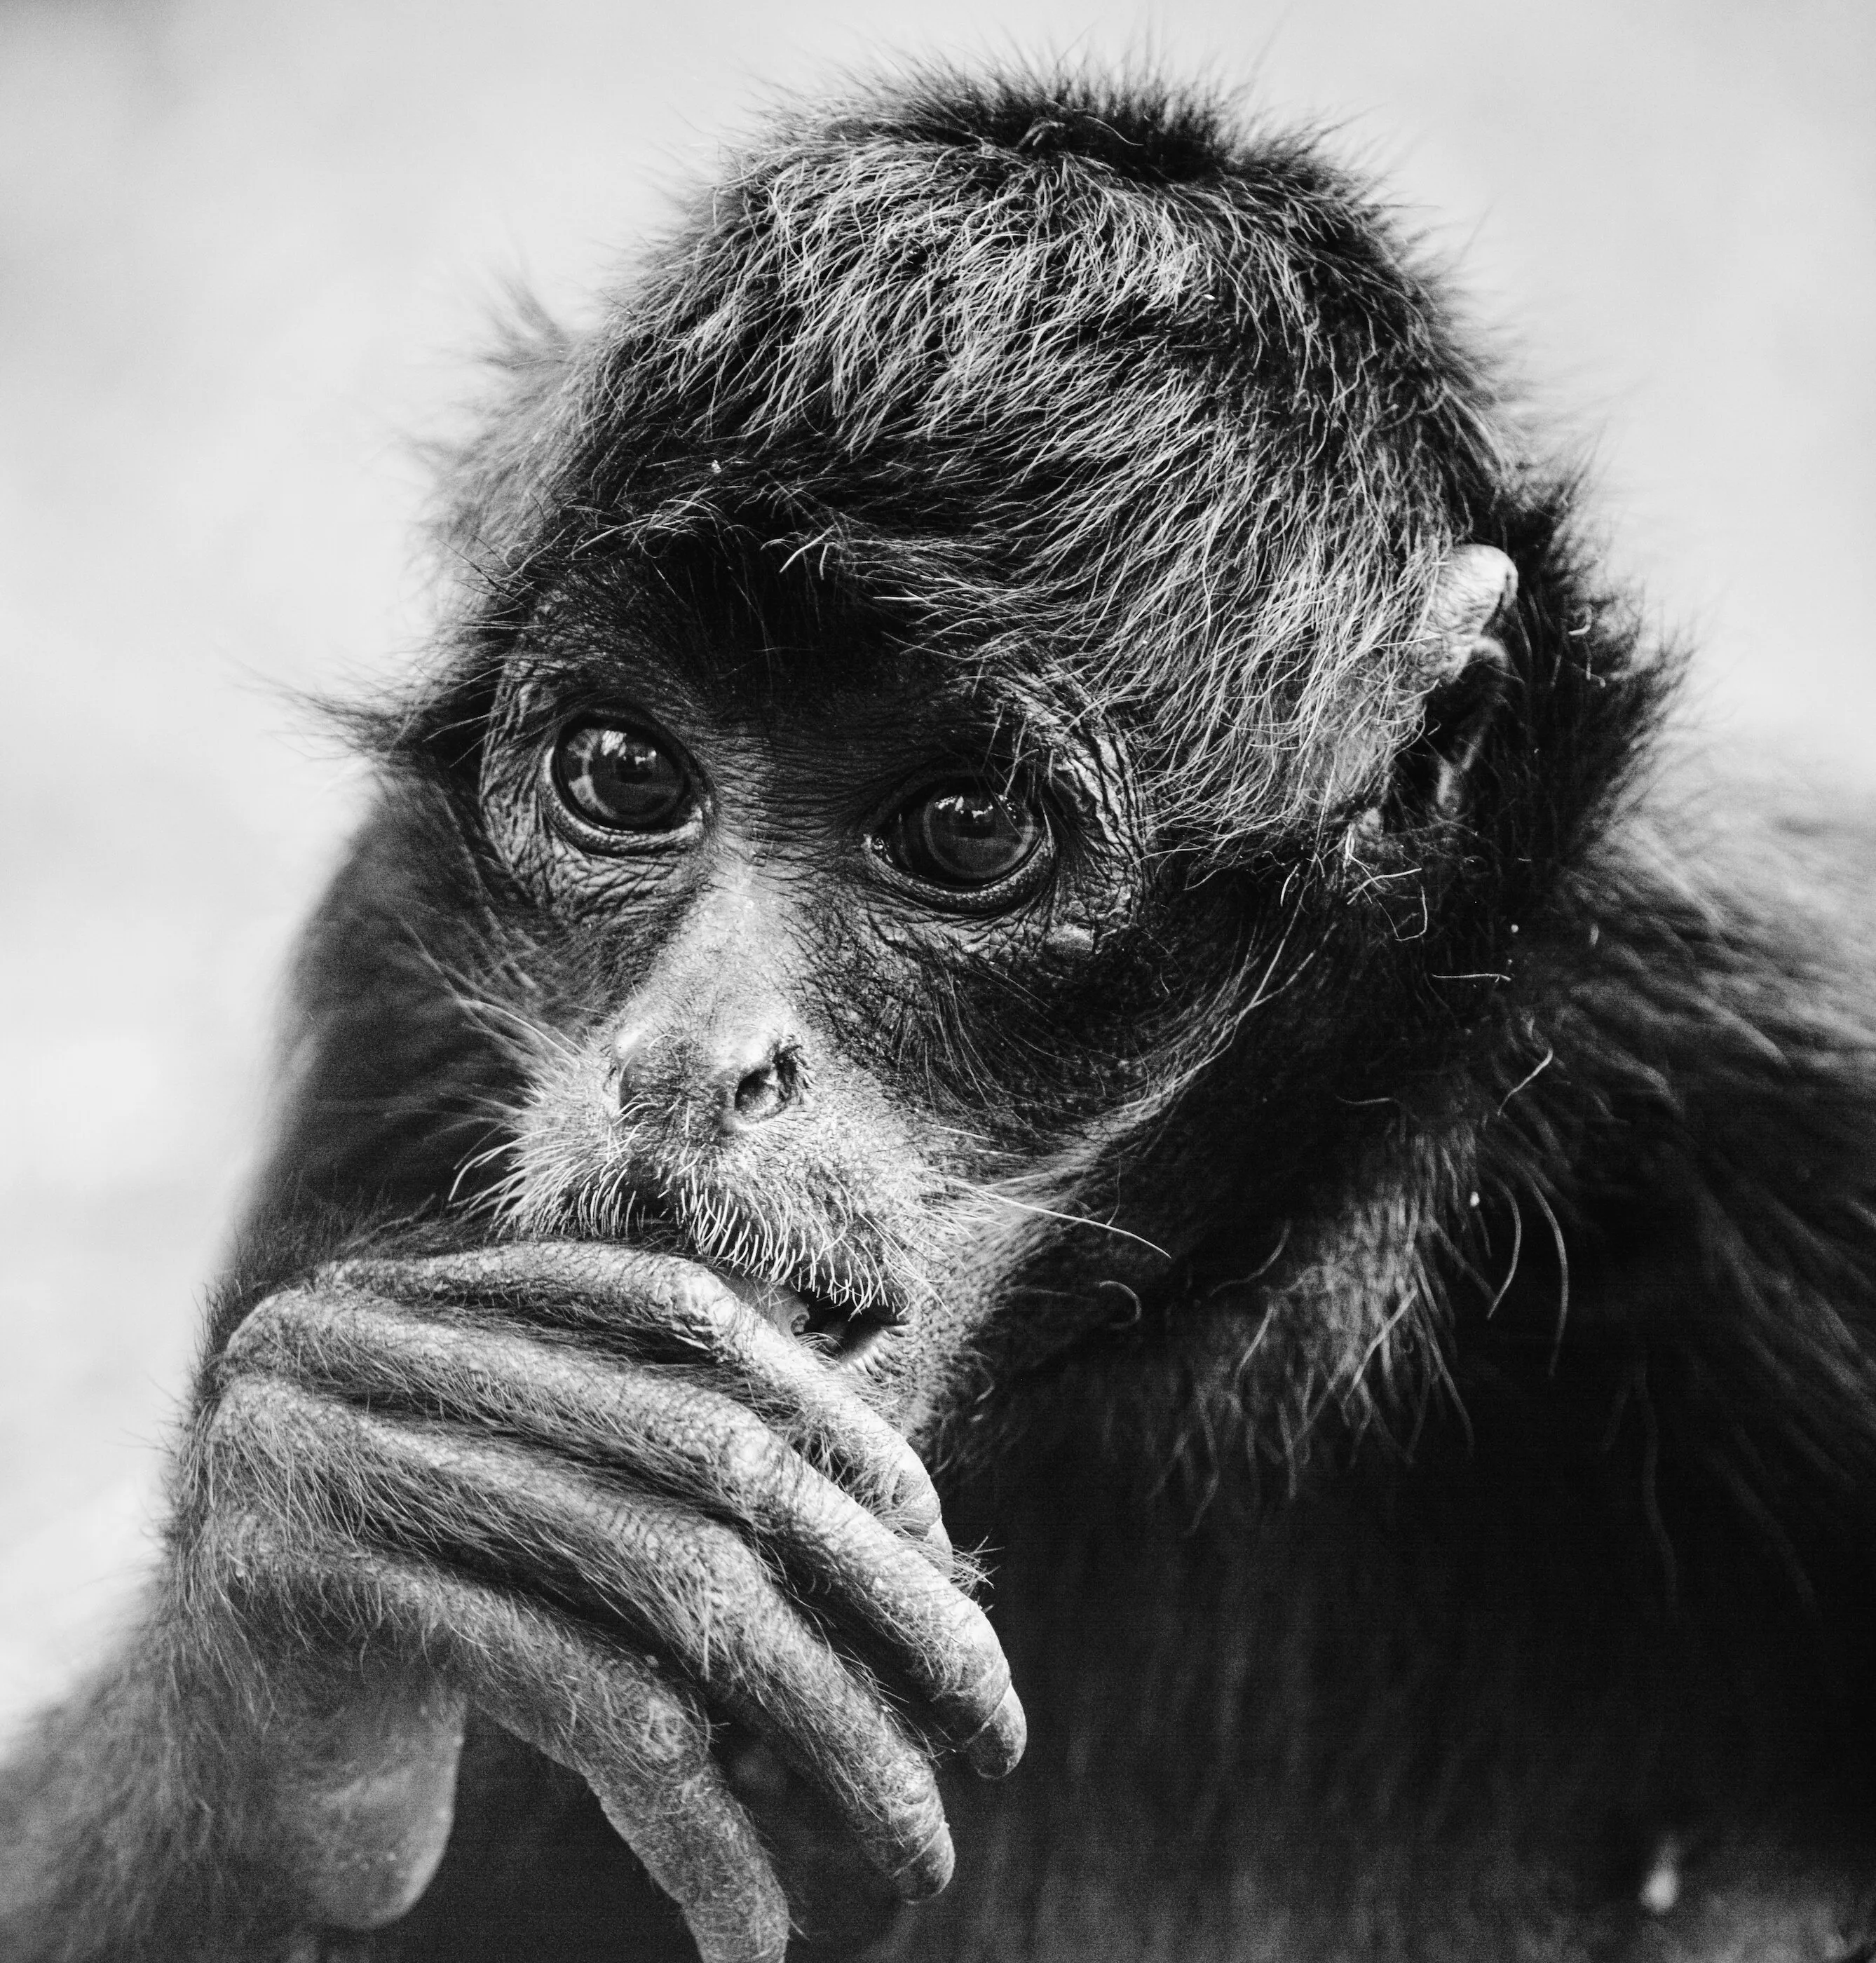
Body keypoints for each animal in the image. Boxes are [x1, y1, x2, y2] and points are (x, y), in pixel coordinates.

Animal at [5, 60, 1876, 1963]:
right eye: (622, 771)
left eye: (967, 829)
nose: (690, 1060)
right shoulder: (394, 977)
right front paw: (369, 1524)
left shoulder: (1781, 1060)